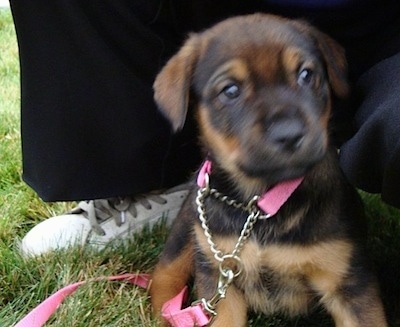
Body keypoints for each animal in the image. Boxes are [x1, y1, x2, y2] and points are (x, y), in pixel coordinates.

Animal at [148, 14, 386, 327]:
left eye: (306, 75)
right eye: (230, 90)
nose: (289, 134)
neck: (259, 204)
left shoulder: (346, 280)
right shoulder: (220, 279)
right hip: (188, 232)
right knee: (165, 276)